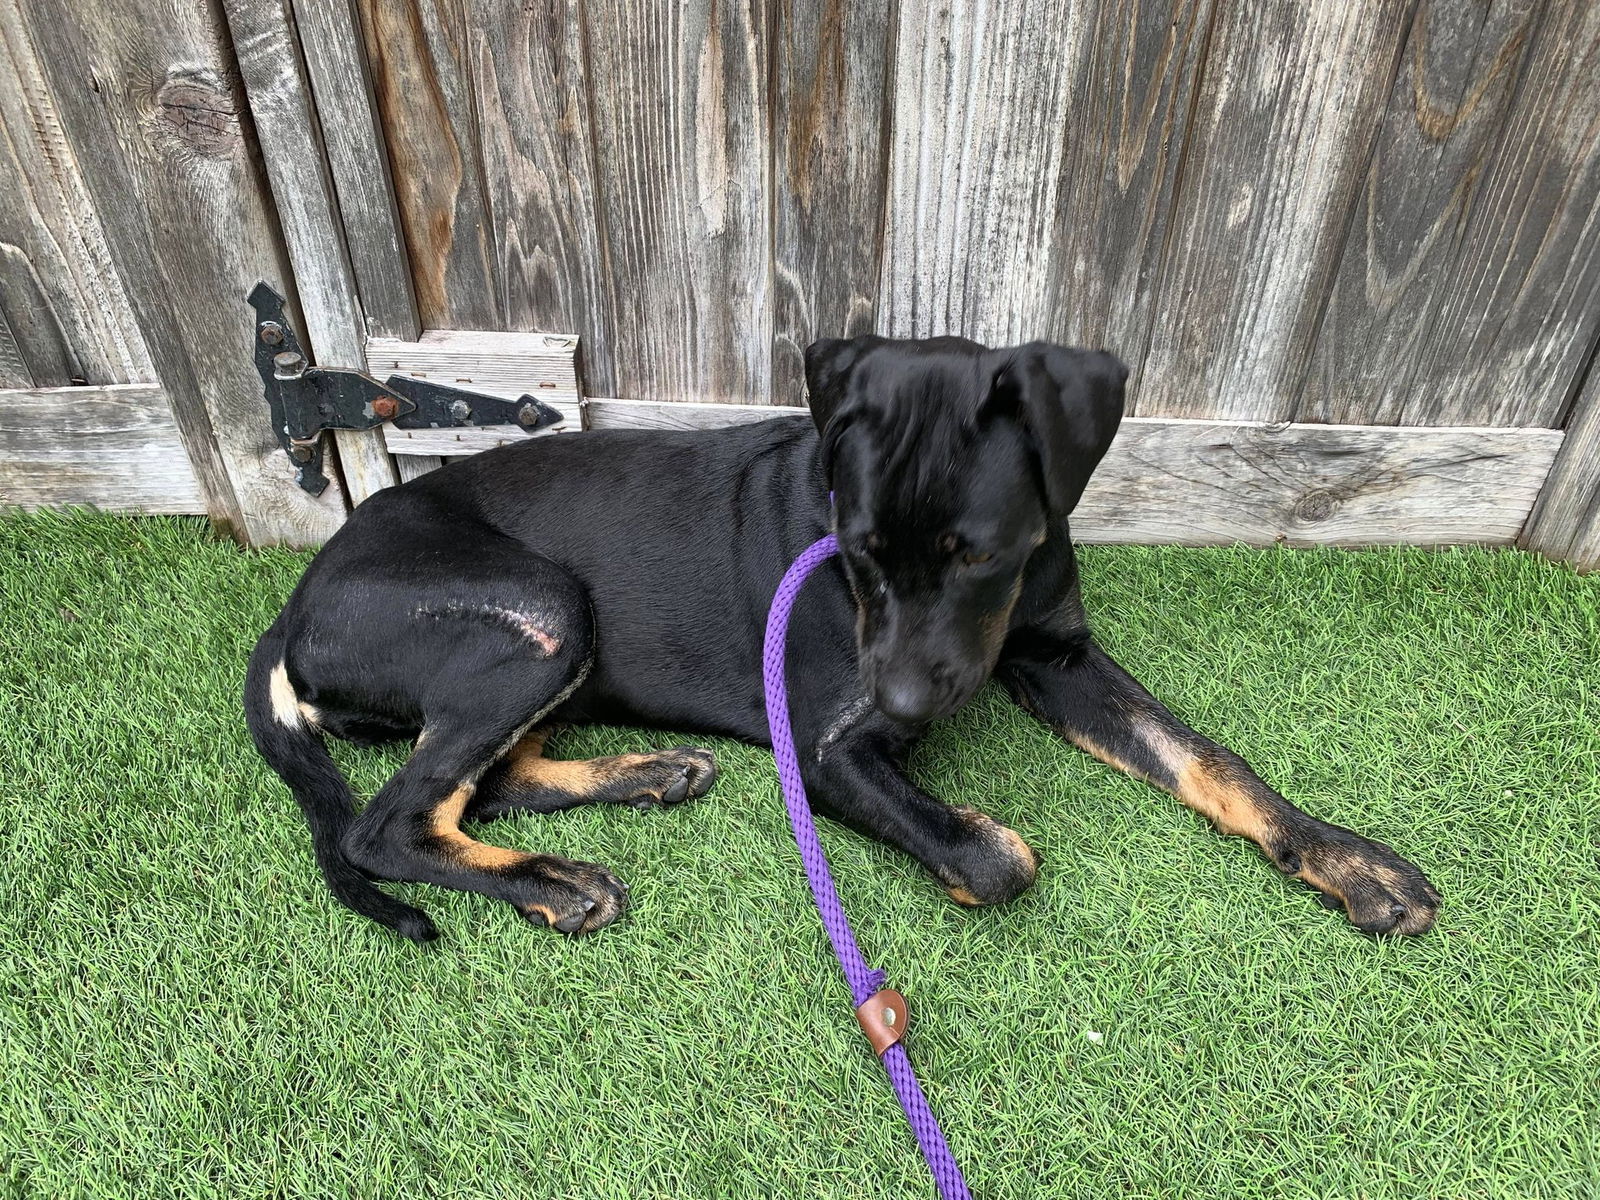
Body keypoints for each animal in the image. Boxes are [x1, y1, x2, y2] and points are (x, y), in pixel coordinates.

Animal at [243, 336, 1446, 940]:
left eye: (978, 553)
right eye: (856, 548)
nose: (908, 712)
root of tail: (293, 608)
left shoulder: (1056, 657)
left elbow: (1208, 759)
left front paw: (1349, 862)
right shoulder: (825, 748)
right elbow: (996, 858)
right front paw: (973, 842)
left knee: (482, 782)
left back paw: (647, 772)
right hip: (542, 611)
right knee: (391, 823)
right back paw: (553, 881)